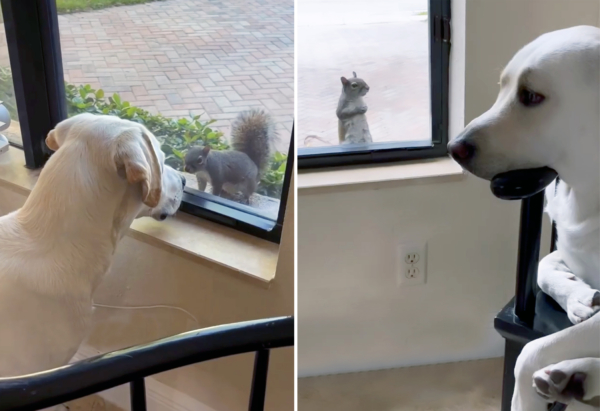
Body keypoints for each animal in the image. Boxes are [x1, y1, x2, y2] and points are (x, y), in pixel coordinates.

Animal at [450, 26, 600, 411]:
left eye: (531, 96)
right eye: (502, 87)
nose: (454, 147)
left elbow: (531, 353)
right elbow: (546, 266)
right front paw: (579, 299)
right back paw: (574, 377)